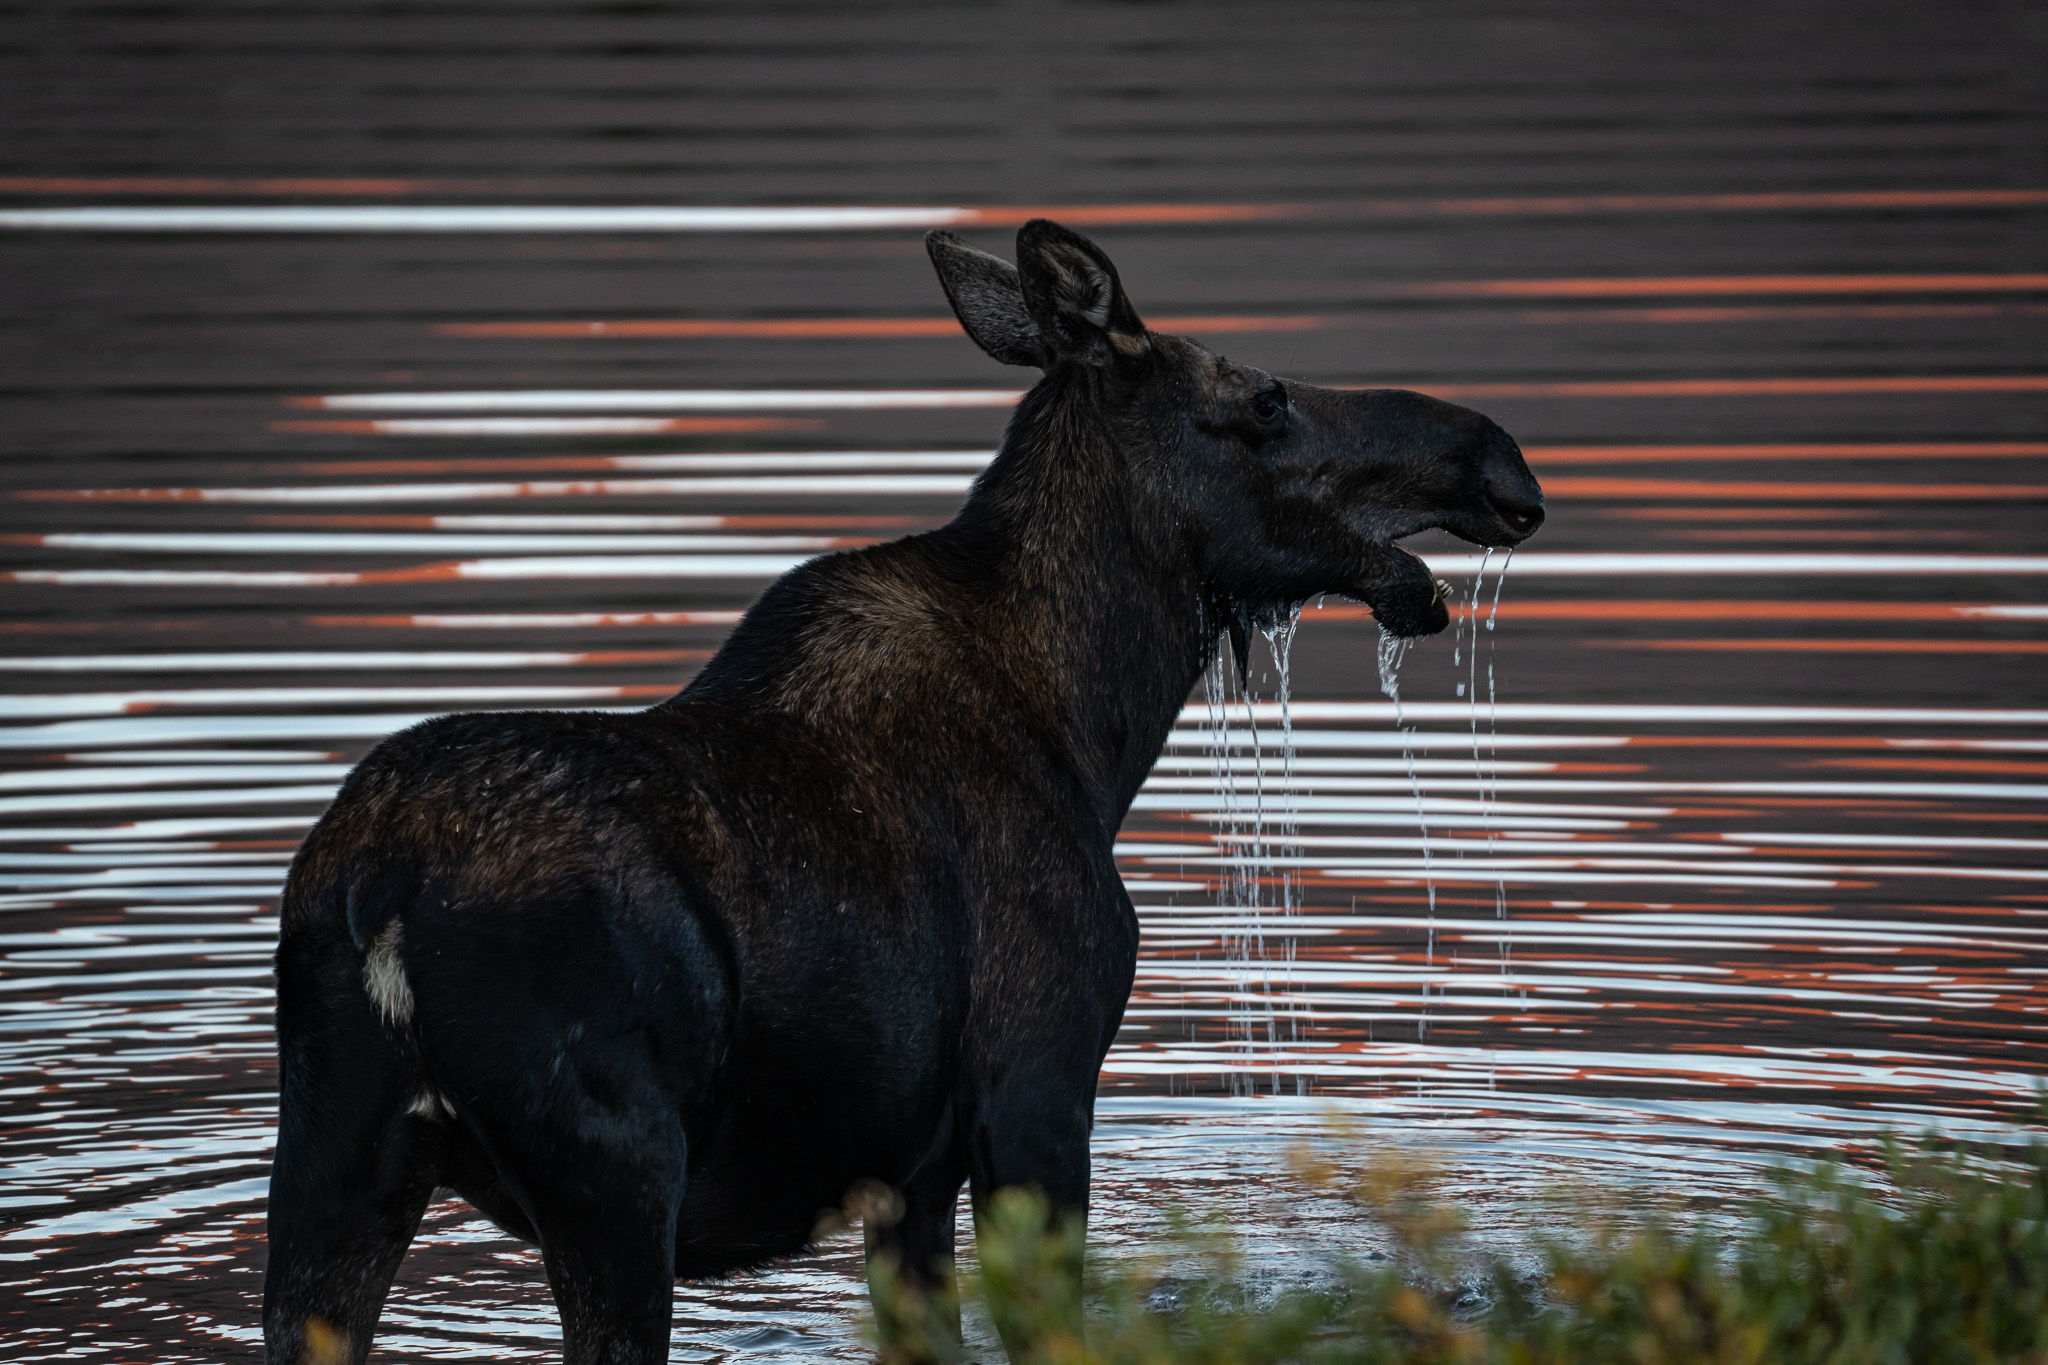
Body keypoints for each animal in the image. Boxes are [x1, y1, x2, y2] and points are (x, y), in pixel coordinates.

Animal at [261, 219, 1543, 1365]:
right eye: (1265, 398)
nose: (1497, 458)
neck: (1099, 728)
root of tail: (379, 889)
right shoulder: (1037, 1080)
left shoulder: (908, 1173)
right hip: (612, 1169)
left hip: (331, 1154)